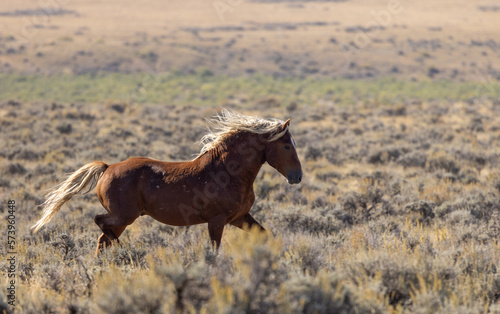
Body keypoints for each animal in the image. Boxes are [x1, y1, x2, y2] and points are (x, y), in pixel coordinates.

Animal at [34, 110, 304, 255]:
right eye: (286, 145)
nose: (298, 176)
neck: (228, 172)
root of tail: (108, 168)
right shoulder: (217, 221)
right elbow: (214, 250)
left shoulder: (239, 218)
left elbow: (264, 235)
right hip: (124, 216)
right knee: (101, 224)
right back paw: (122, 250)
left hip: (123, 219)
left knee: (103, 240)